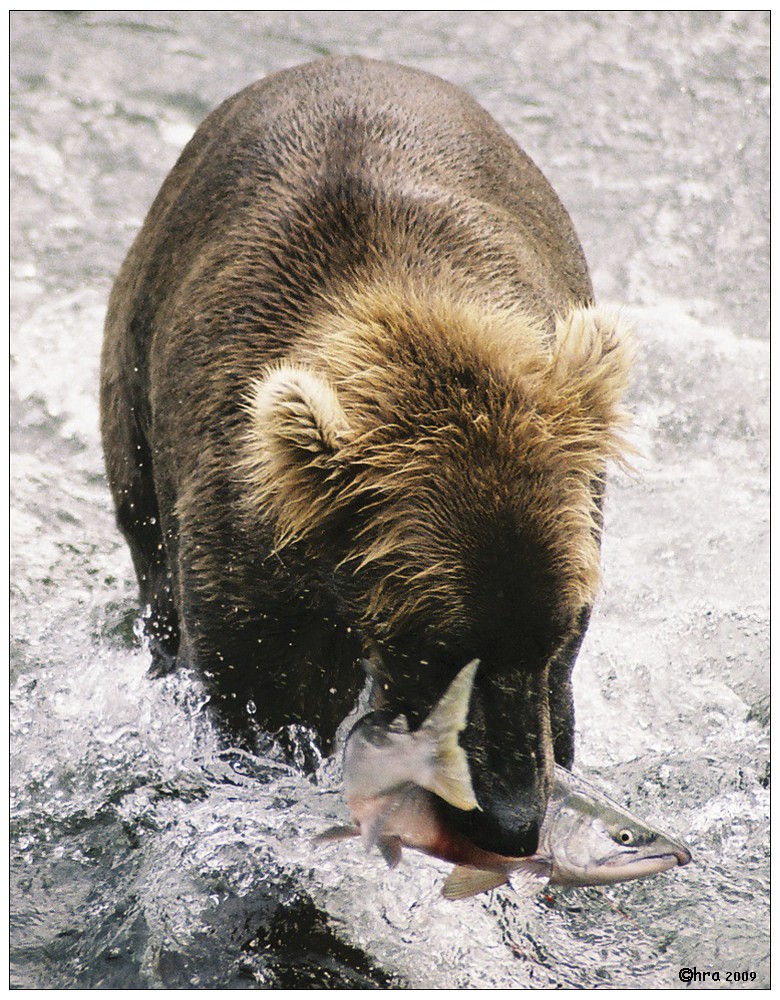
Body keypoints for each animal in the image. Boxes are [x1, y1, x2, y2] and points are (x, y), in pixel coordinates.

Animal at [100, 54, 632, 856]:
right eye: (438, 643)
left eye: (560, 626)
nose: (511, 821)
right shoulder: (254, 567)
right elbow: (259, 705)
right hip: (132, 377)